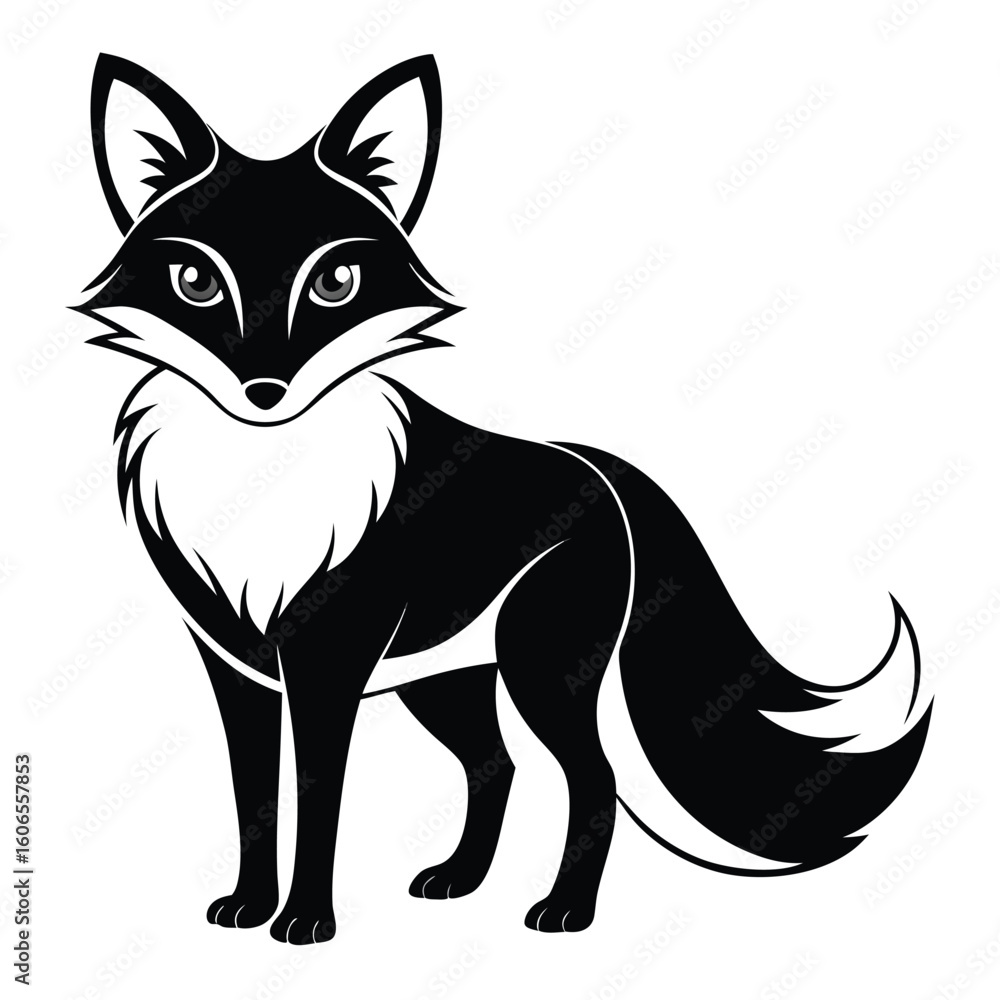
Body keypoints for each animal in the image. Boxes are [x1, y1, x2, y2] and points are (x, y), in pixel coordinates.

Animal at [76, 53, 932, 945]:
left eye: (337, 281)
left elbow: (319, 802)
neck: (263, 483)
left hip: (538, 672)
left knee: (592, 780)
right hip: (445, 681)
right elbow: (254, 797)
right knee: (497, 764)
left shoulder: (326, 663)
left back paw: (564, 911)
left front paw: (305, 921)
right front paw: (247, 906)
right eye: (195, 281)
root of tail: (602, 470)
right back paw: (460, 880)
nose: (265, 391)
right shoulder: (234, 665)